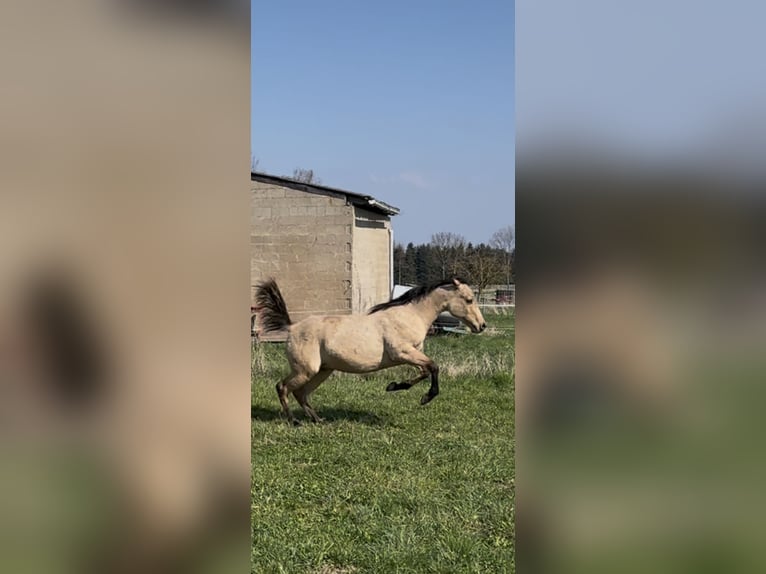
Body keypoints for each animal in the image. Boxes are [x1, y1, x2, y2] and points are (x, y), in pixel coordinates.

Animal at [254, 277, 486, 425]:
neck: (410, 315)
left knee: (300, 393)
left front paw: (394, 386)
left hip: (322, 371)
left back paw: (318, 420)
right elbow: (434, 367)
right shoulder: (402, 353)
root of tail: (292, 328)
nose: (482, 326)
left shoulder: (412, 355)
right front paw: (425, 398)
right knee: (282, 387)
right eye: (469, 299)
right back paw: (294, 421)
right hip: (305, 370)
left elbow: (424, 371)